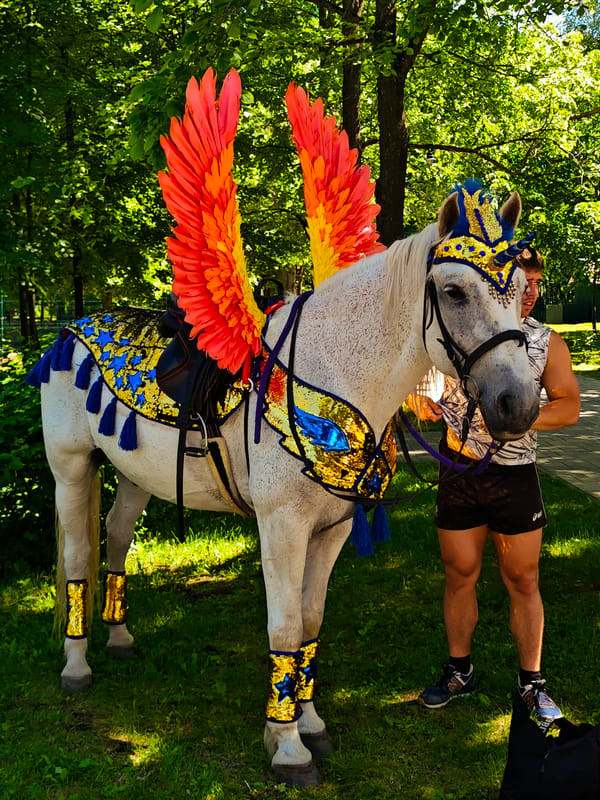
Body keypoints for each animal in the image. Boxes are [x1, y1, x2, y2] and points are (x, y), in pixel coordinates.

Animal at [32, 186, 539, 787]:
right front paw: (288, 747)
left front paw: (308, 724)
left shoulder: (332, 530)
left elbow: (311, 622)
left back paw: (119, 637)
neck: (334, 371)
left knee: (115, 536)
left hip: (135, 475)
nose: (518, 405)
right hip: (72, 467)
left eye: (520, 291)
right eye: (455, 291)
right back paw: (77, 664)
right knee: (78, 554)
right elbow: (285, 626)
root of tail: (69, 331)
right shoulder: (282, 527)